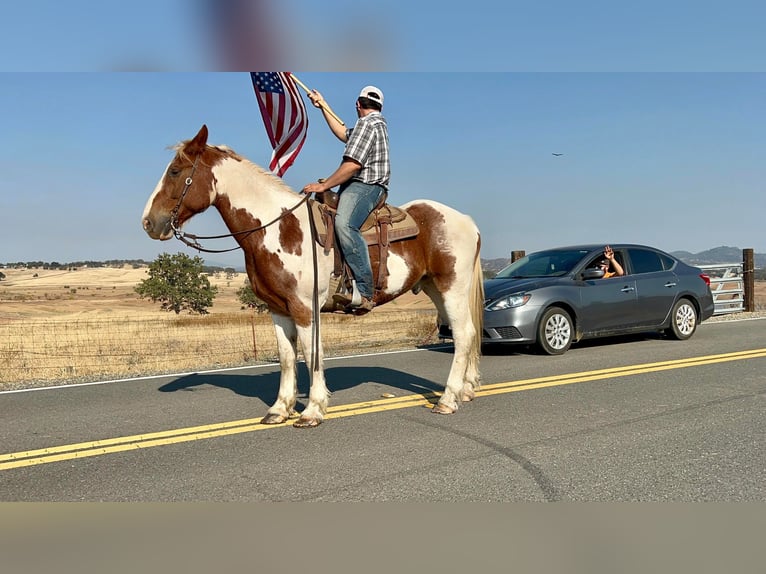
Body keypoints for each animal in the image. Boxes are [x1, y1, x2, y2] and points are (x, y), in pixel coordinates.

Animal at [141, 125, 484, 428]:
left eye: (175, 171)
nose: (148, 222)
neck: (277, 226)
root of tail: (467, 221)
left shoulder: (305, 308)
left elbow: (310, 354)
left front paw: (313, 410)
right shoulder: (278, 310)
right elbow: (286, 357)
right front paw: (280, 409)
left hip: (452, 287)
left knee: (463, 334)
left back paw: (447, 399)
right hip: (435, 289)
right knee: (465, 333)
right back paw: (466, 390)